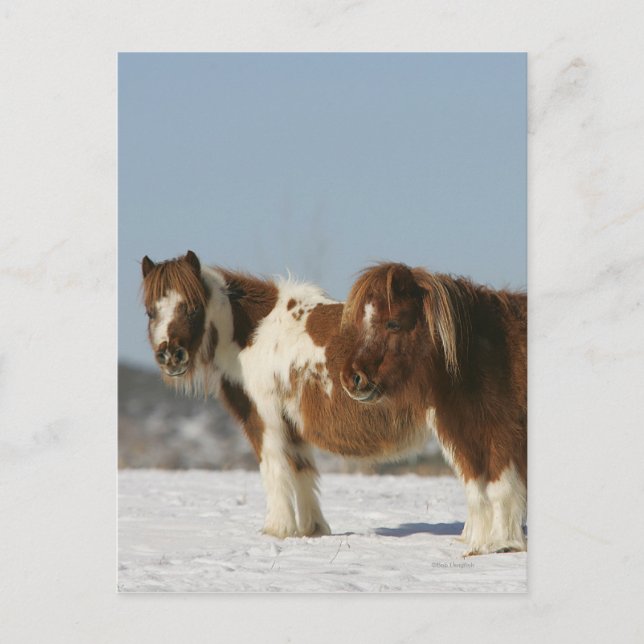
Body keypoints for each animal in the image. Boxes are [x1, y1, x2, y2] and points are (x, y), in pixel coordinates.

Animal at [140, 251, 435, 539]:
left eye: (193, 308)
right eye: (150, 312)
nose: (170, 355)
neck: (254, 334)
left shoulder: (265, 419)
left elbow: (274, 467)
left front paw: (277, 529)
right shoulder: (292, 425)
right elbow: (301, 469)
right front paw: (311, 529)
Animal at [340, 263, 527, 555]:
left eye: (393, 323)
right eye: (362, 323)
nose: (352, 378)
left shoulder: (502, 435)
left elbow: (499, 487)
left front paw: (500, 543)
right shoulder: (465, 438)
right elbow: (476, 489)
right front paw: (476, 541)